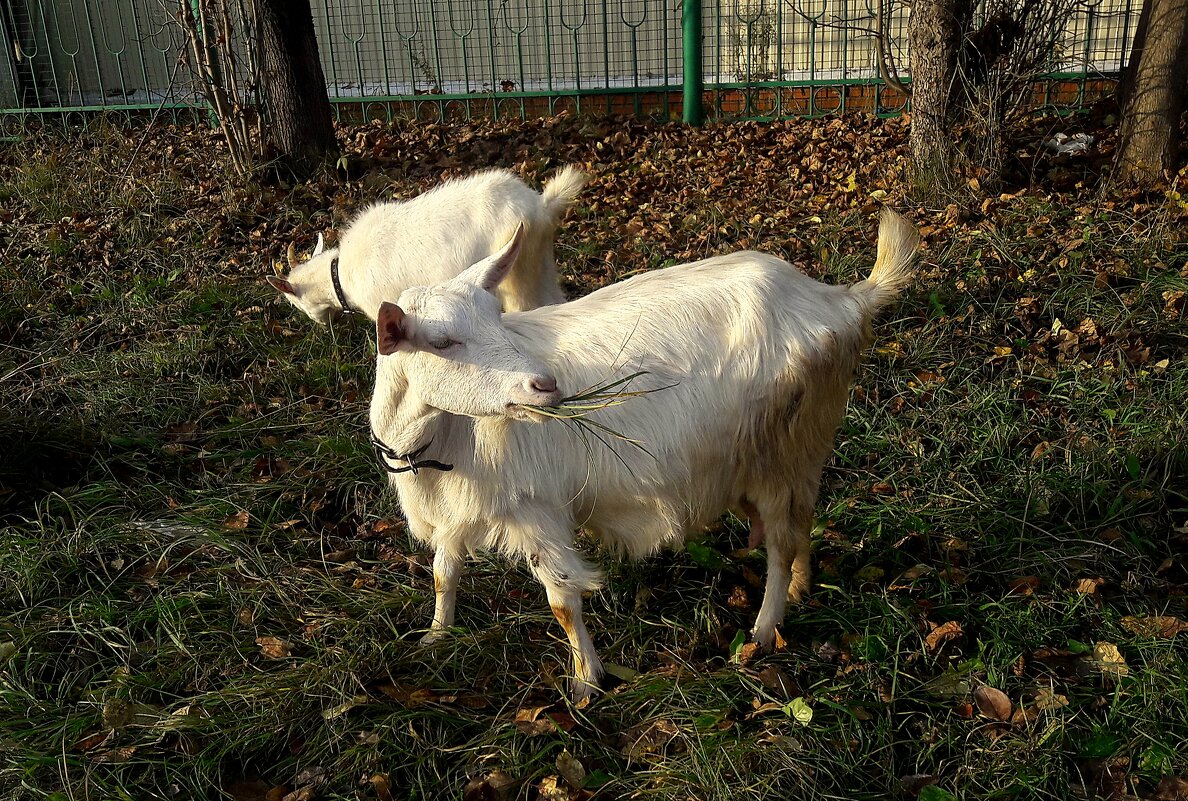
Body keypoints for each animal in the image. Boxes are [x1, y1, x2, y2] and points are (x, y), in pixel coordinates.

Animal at [267, 166, 586, 323]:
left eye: (294, 302)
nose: (321, 325)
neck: (341, 272)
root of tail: (540, 207)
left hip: (516, 279)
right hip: (539, 268)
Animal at [368, 207, 917, 698]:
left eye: (500, 320)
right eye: (442, 342)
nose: (545, 385)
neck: (440, 442)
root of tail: (841, 300)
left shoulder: (536, 509)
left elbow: (562, 601)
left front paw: (585, 682)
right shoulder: (454, 510)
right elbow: (444, 575)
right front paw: (435, 637)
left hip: (781, 447)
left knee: (782, 540)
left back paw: (763, 632)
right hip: (788, 450)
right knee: (801, 520)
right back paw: (800, 588)